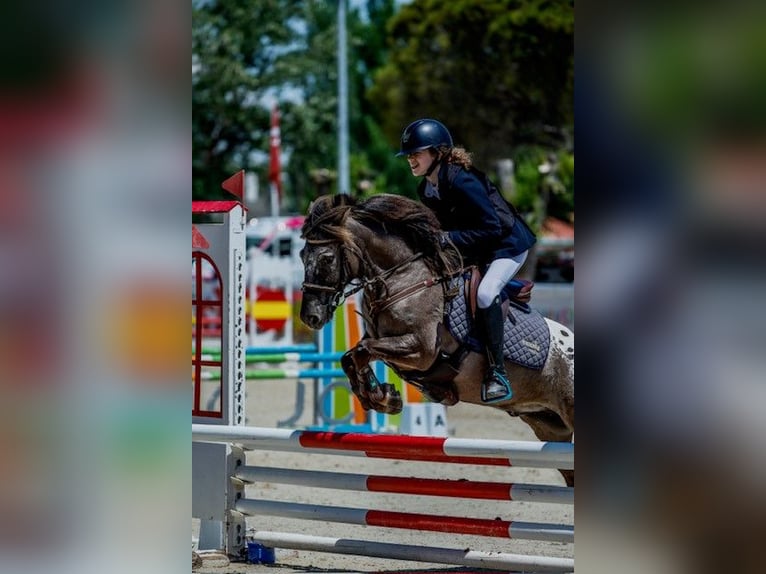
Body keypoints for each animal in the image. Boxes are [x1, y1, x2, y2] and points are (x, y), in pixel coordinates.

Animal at [300, 194, 576, 486]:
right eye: (302, 255)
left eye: (327, 258)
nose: (310, 317)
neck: (403, 281)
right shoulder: (388, 343)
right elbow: (351, 356)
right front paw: (383, 397)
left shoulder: (421, 351)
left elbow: (362, 351)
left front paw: (381, 396)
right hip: (549, 426)